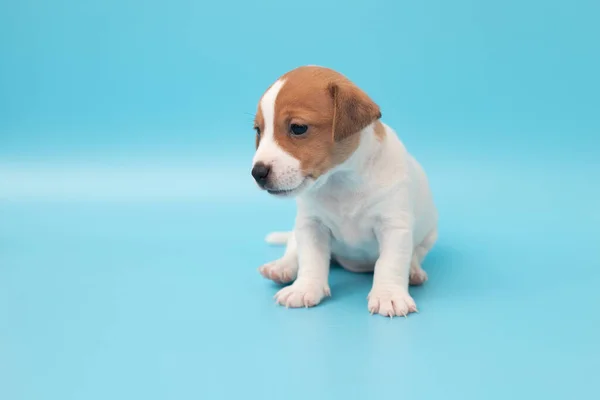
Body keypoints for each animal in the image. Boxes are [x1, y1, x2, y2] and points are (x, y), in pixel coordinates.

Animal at [248, 65, 436, 318]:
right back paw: (281, 267)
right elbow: (311, 260)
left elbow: (390, 263)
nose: (257, 172)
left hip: (429, 235)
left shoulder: (394, 226)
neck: (340, 180)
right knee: (293, 248)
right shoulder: (311, 225)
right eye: (258, 130)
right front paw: (304, 288)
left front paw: (388, 295)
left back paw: (414, 271)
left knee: (415, 254)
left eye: (298, 128)